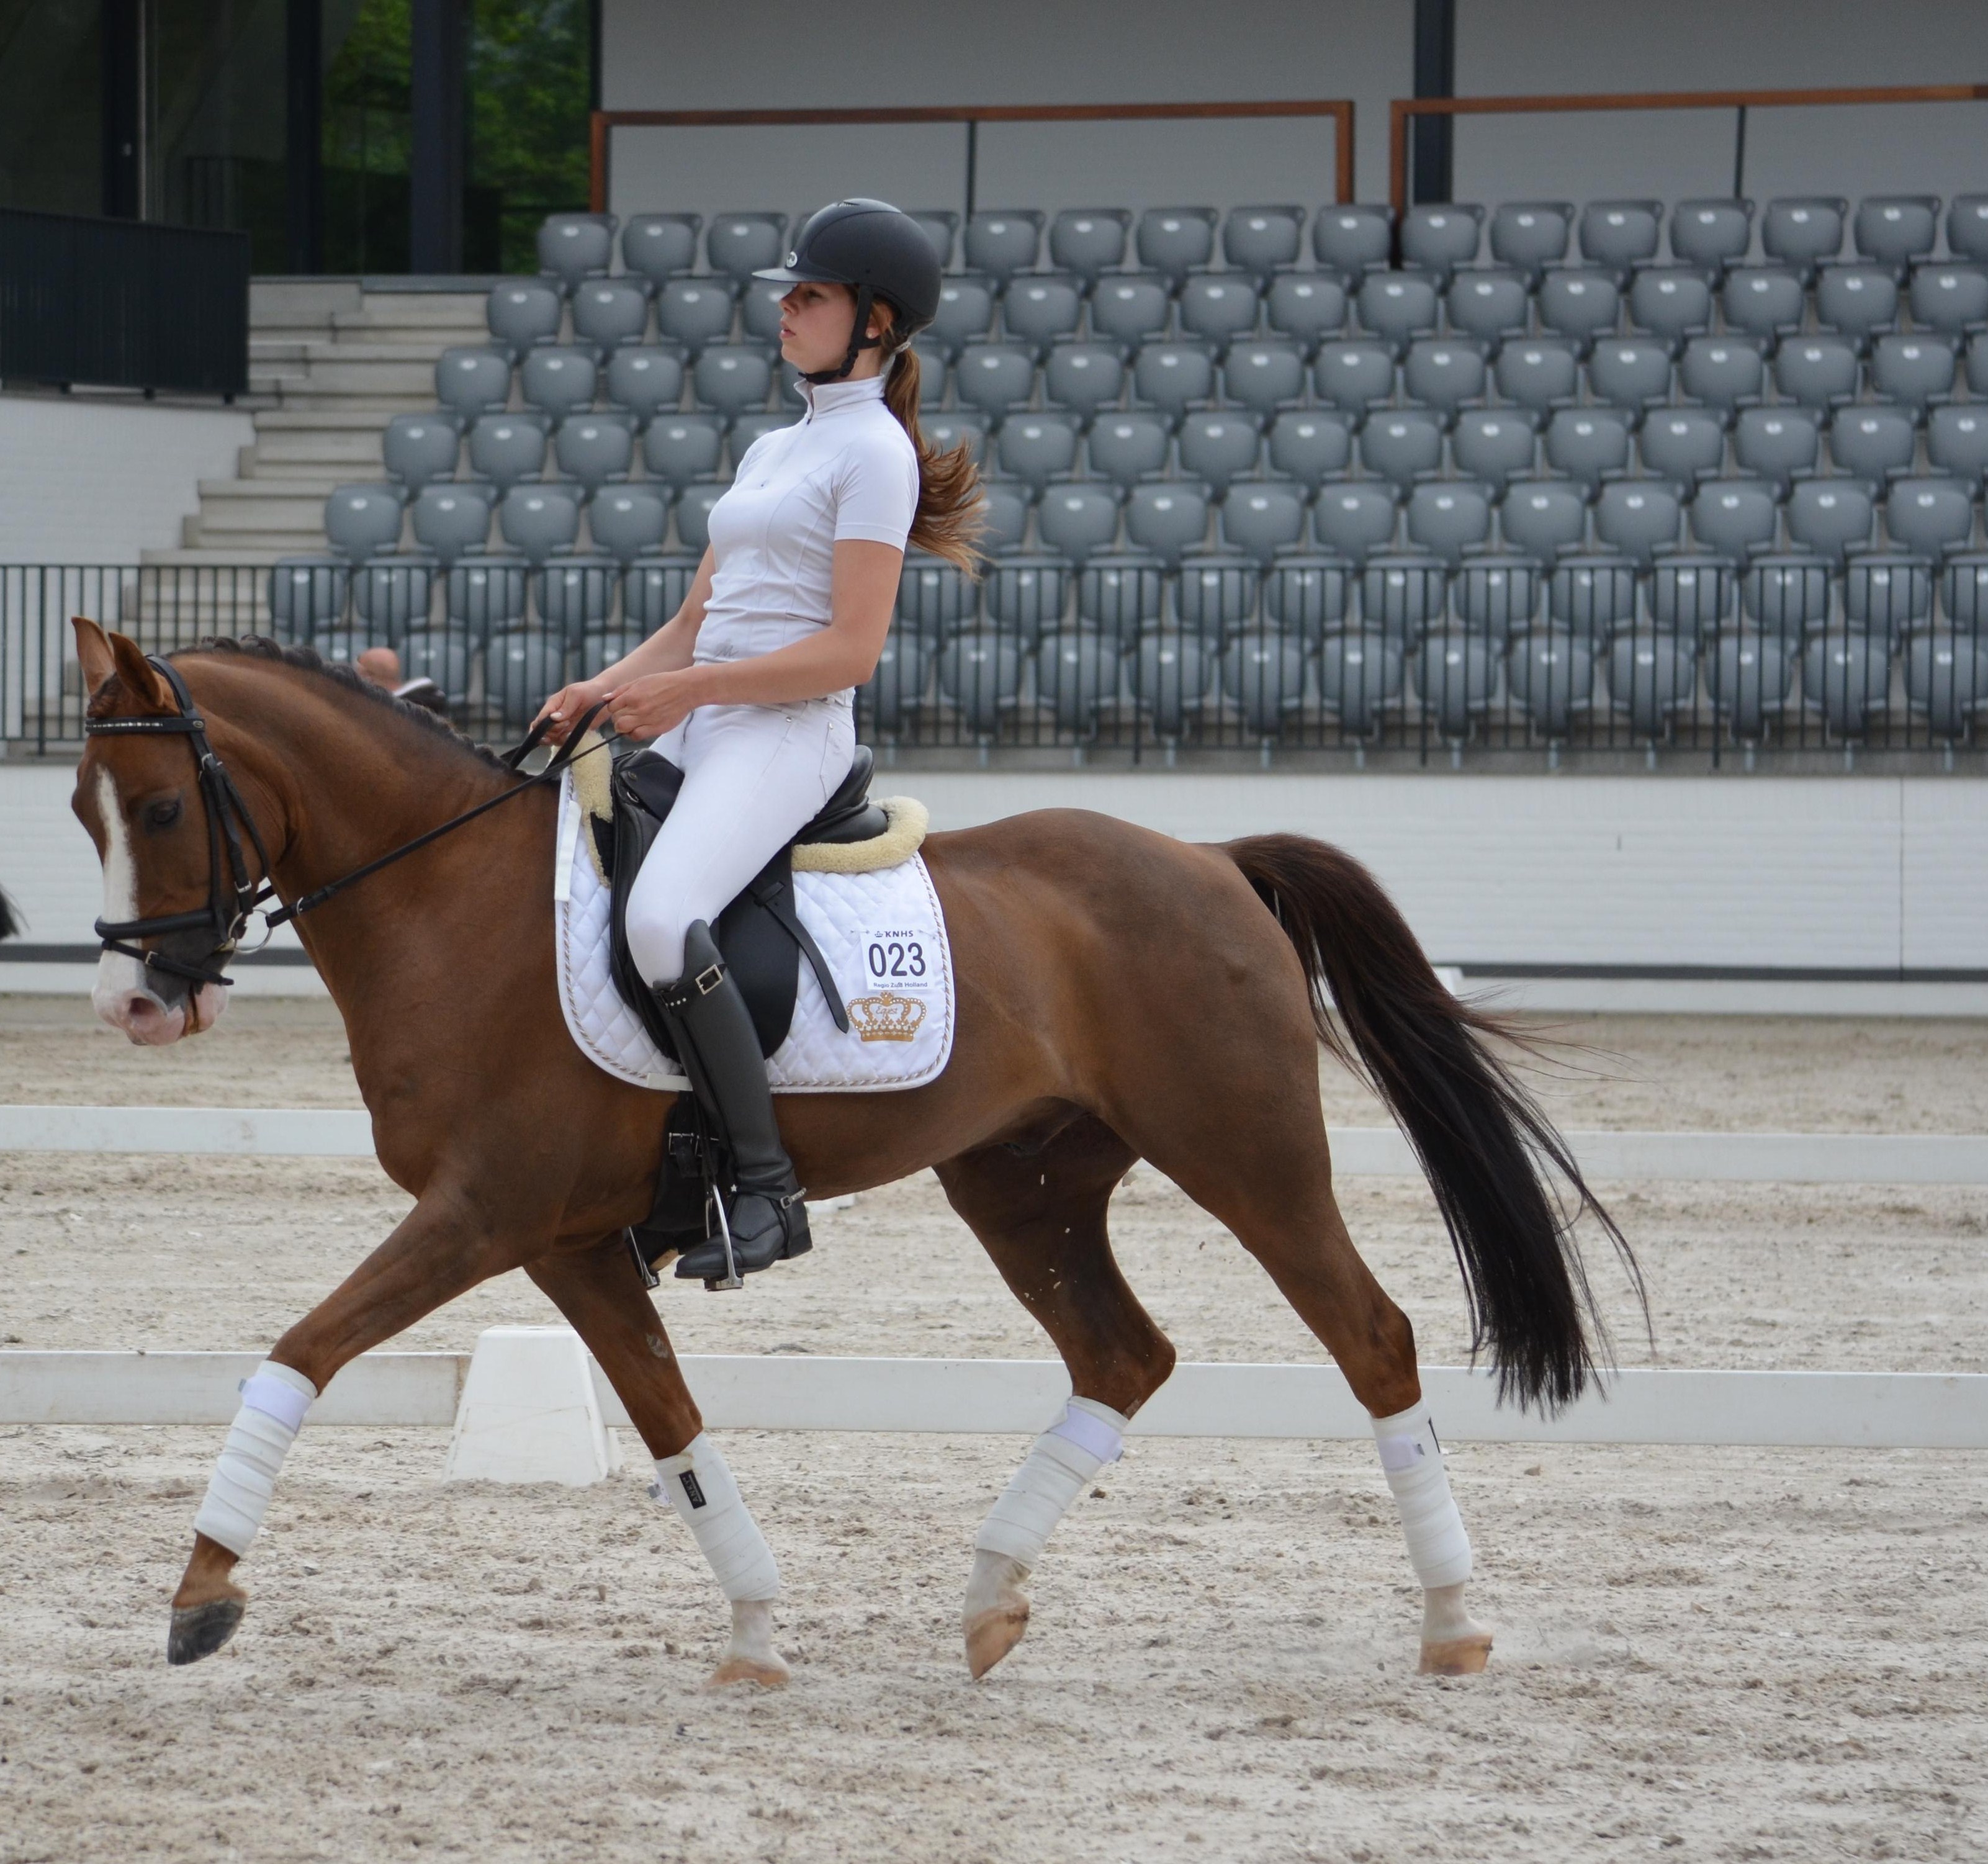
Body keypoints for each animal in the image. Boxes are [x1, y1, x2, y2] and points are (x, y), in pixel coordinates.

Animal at [67, 617, 1636, 1686]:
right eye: (84, 811)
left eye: (160, 807)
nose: (133, 1008)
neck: (445, 898)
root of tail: (1209, 860)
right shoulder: (565, 1239)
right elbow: (673, 1429)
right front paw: (757, 1631)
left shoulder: (483, 1211)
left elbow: (299, 1350)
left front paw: (201, 1589)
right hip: (1023, 1183)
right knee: (1121, 1355)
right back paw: (990, 1594)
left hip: (1244, 1155)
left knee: (1369, 1336)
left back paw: (1452, 1622)